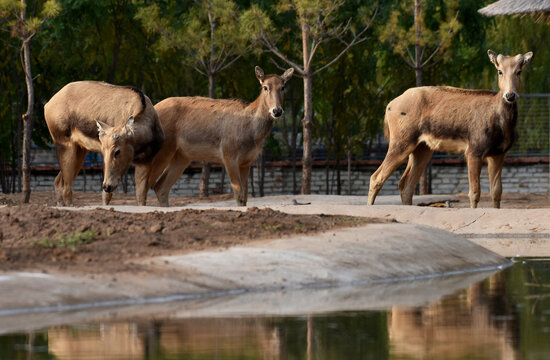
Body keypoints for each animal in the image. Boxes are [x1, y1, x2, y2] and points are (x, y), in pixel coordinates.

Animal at [147, 66, 294, 207]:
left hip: (181, 156)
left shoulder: (247, 161)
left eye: (283, 87)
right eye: (265, 87)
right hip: (162, 150)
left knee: (160, 187)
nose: (277, 111)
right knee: (146, 185)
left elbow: (245, 196)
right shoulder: (229, 154)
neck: (252, 134)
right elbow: (239, 194)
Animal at [370, 50, 536, 208]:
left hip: (422, 148)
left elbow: (496, 192)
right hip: (401, 141)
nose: (510, 95)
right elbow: (474, 192)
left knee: (405, 185)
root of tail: (389, 106)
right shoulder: (473, 150)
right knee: (376, 178)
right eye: (499, 71)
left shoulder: (498, 153)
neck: (503, 125)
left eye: (519, 71)